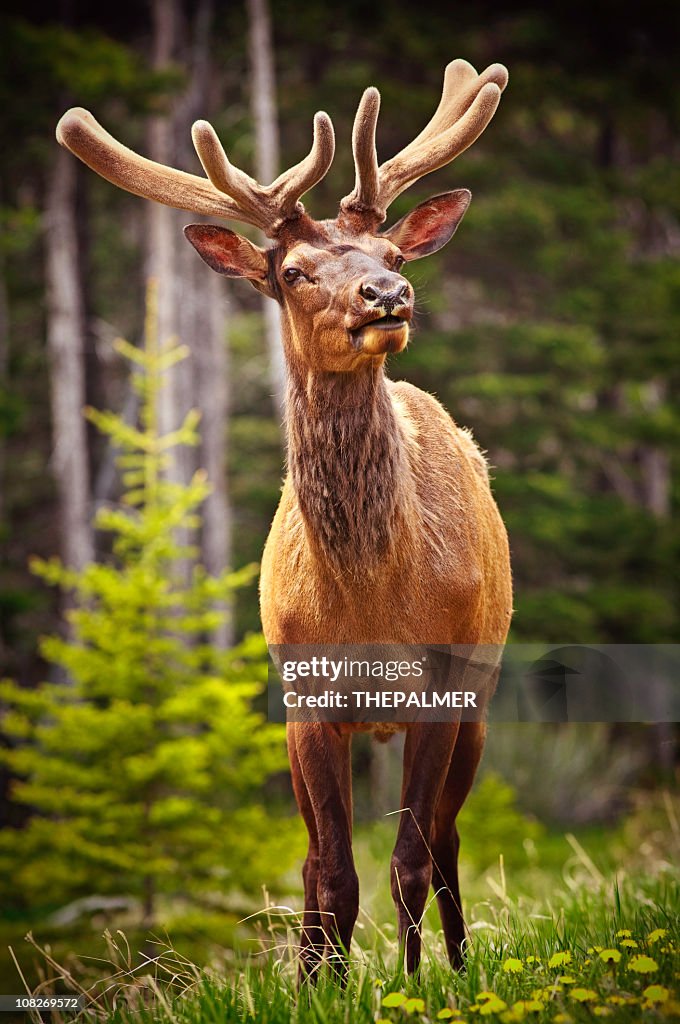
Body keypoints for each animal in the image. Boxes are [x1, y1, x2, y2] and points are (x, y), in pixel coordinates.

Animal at [58, 56, 512, 974]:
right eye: (295, 271)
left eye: (389, 250)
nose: (388, 291)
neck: (371, 602)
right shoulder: (305, 695)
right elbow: (332, 869)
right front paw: (321, 985)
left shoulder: (444, 681)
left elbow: (408, 860)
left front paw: (413, 987)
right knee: (314, 858)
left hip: (482, 690)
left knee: (445, 842)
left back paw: (456, 966)